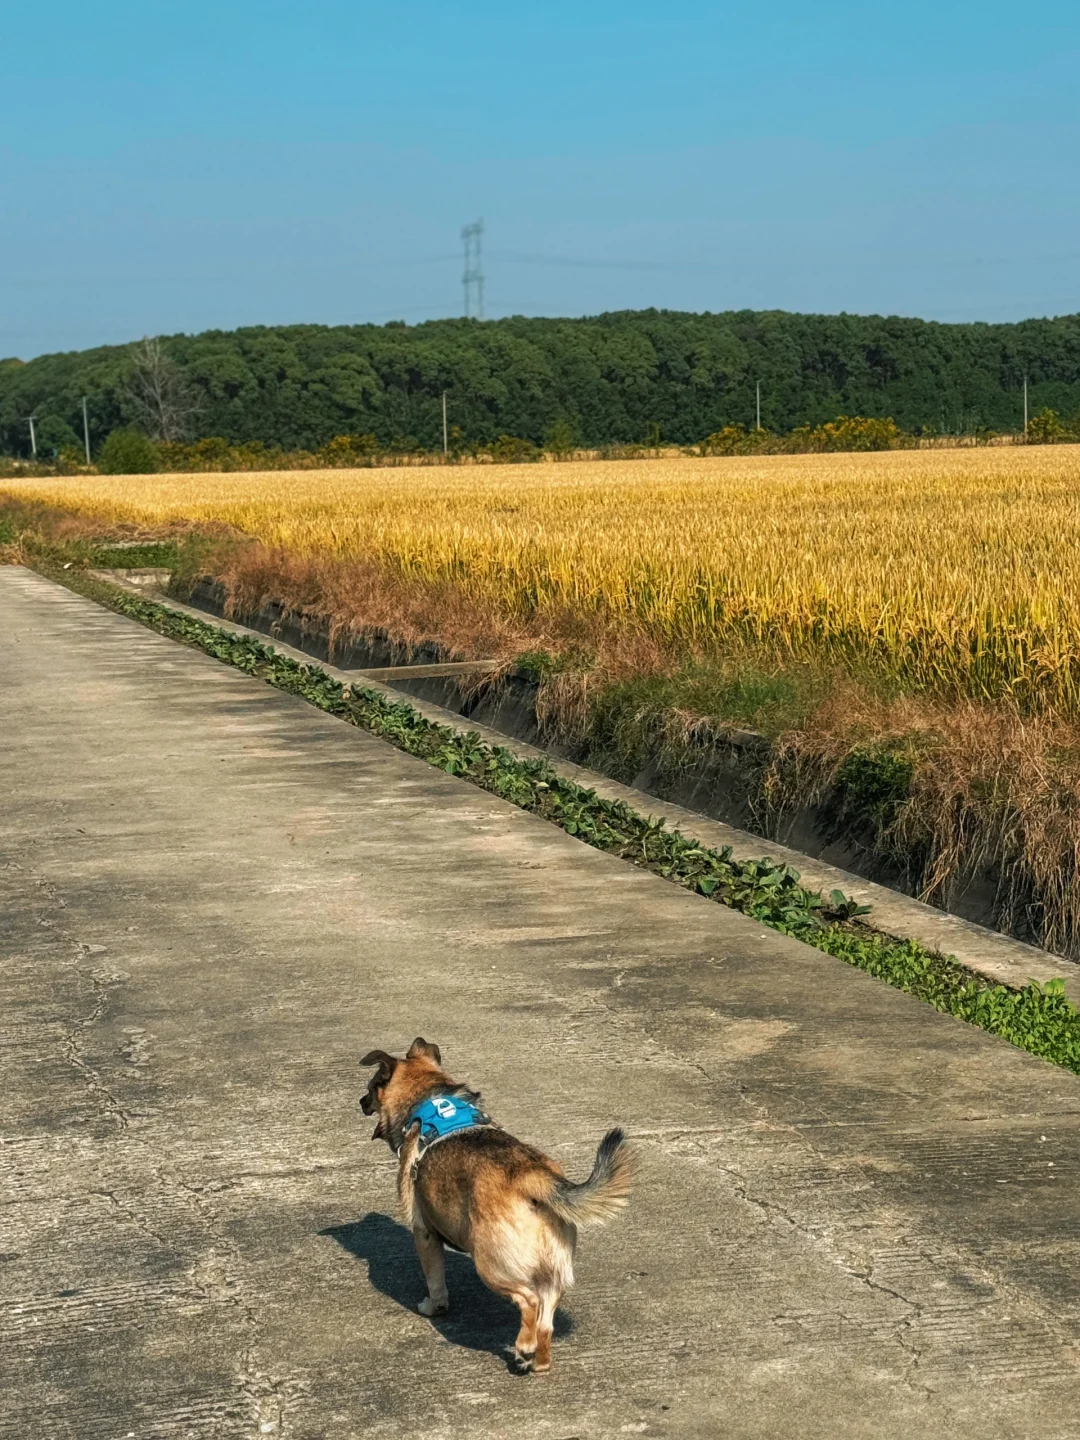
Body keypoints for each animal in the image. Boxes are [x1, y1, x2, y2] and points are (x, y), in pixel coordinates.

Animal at [360, 1037, 633, 1373]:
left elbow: (435, 1282)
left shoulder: (424, 1234)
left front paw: (432, 1307)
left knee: (528, 1302)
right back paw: (538, 1361)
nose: (360, 1102)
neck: (428, 1097)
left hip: (490, 1265)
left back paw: (524, 1345)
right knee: (545, 1323)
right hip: (552, 1274)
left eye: (371, 1087)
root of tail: (532, 1176)